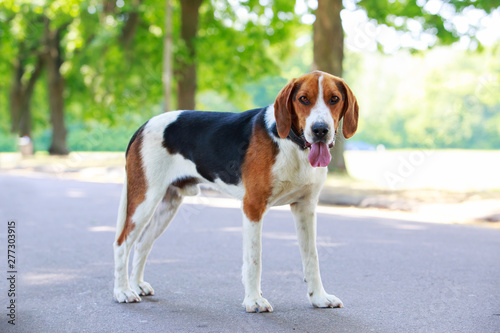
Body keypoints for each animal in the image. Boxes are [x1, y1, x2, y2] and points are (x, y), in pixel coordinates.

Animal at [112, 70, 358, 312]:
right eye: (304, 99)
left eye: (334, 99)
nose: (320, 130)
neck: (293, 144)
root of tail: (143, 126)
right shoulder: (253, 206)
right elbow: (254, 259)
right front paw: (254, 301)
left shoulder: (305, 208)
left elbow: (312, 258)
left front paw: (319, 297)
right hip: (144, 201)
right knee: (122, 243)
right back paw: (123, 291)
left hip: (167, 205)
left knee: (142, 243)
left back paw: (137, 285)